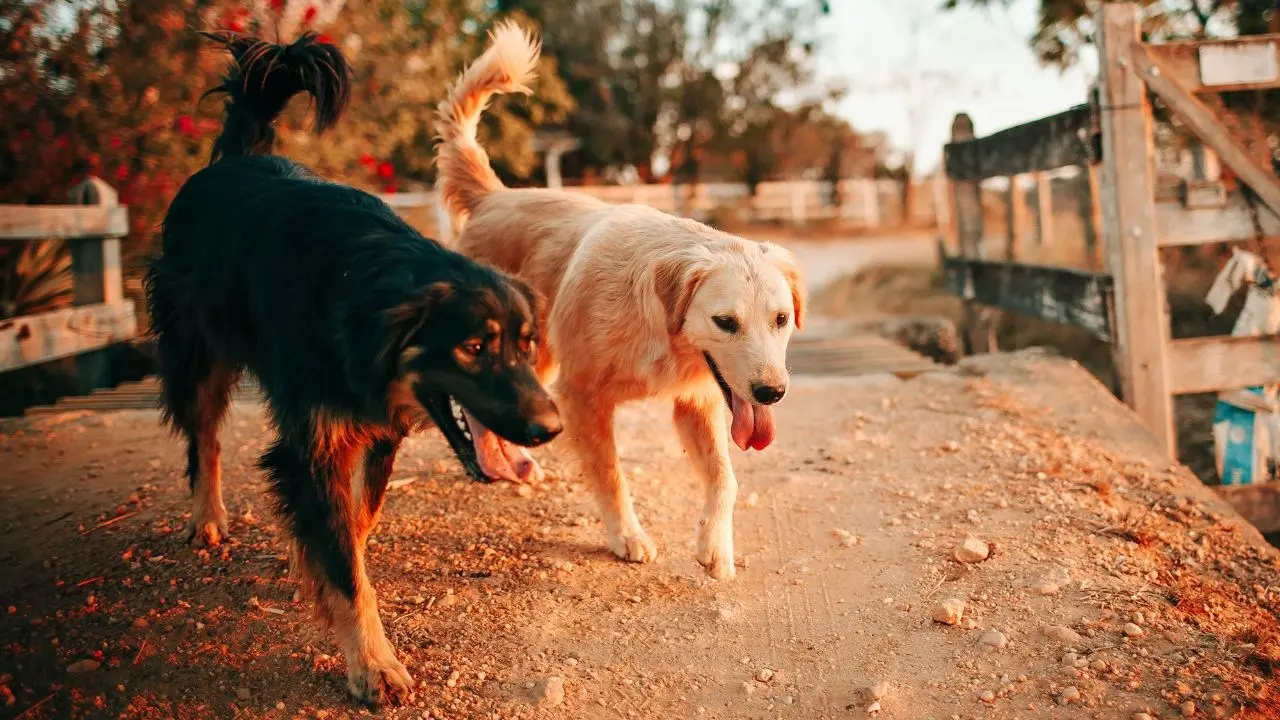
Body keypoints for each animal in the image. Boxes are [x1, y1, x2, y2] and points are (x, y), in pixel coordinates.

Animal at [145, 32, 560, 702]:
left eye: (526, 346)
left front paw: (317, 561)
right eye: (473, 348)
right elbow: (343, 562)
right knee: (203, 439)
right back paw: (207, 516)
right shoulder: (311, 442)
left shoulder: (378, 429)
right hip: (196, 353)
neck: (362, 293)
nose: (551, 429)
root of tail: (233, 160)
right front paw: (372, 662)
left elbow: (355, 526)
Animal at [435, 22, 803, 576]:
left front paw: (714, 546)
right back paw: (496, 461)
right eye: (725, 322)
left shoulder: (696, 401)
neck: (657, 328)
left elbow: (726, 479)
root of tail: (493, 196)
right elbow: (611, 475)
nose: (771, 393)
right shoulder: (582, 397)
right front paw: (627, 535)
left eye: (781, 319)